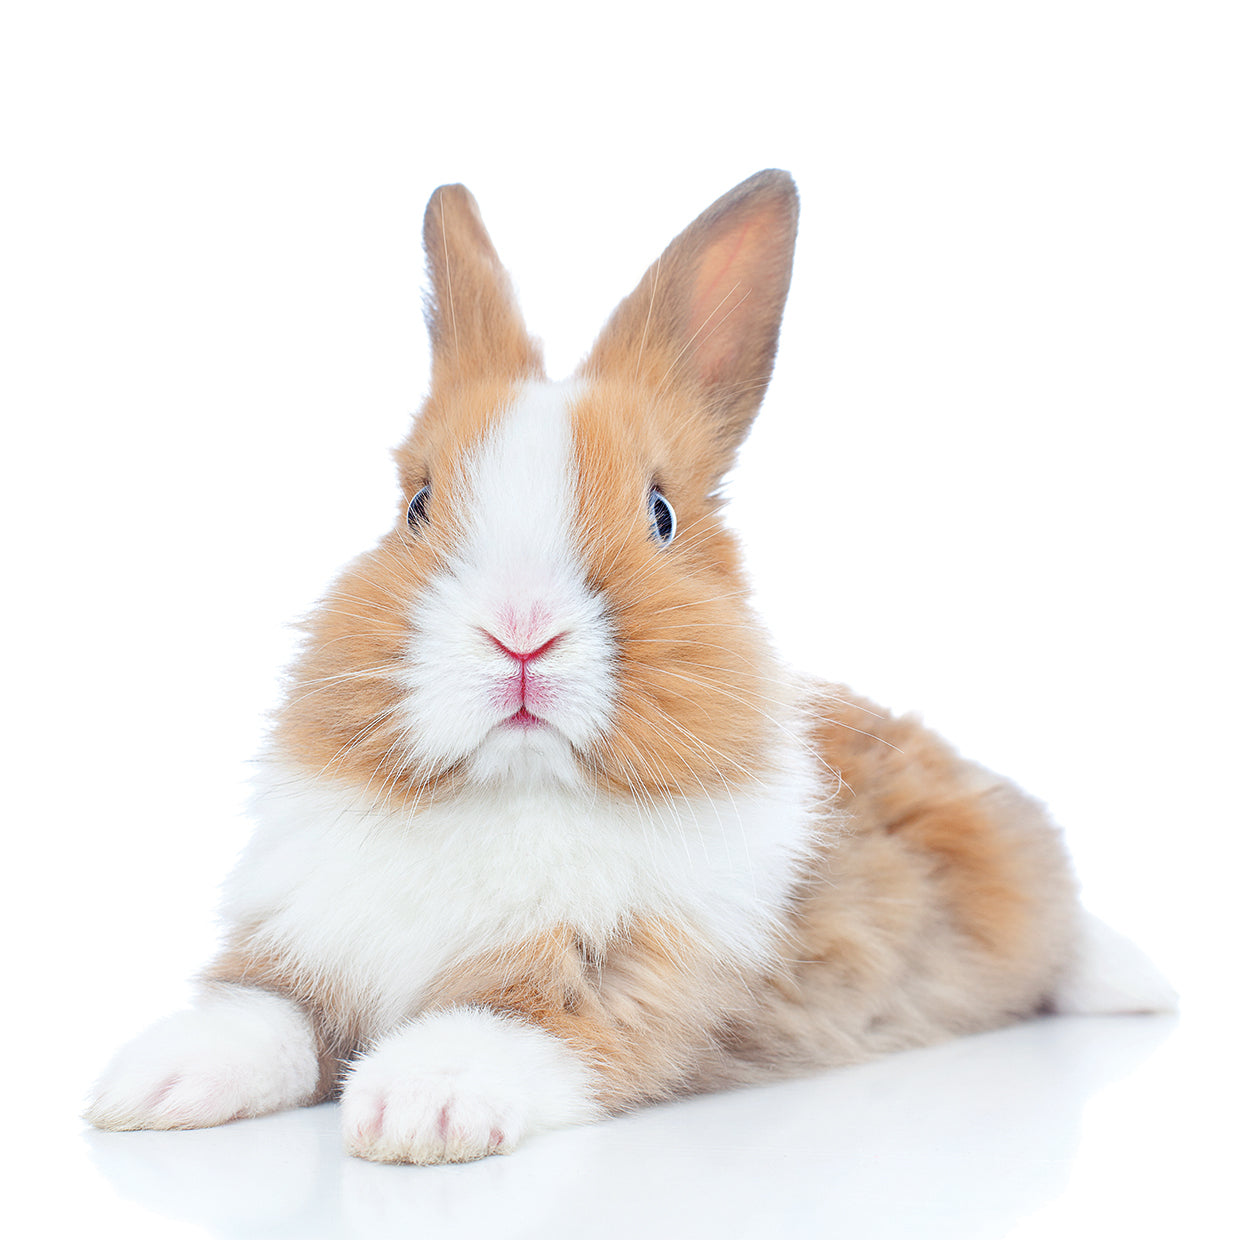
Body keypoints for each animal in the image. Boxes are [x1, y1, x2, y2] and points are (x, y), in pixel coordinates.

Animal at [85, 170, 1175, 1164]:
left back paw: (1140, 987)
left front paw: (413, 1109)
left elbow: (506, 1022)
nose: (521, 633)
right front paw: (148, 1084)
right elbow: (263, 1015)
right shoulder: (305, 950)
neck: (512, 792)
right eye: (416, 505)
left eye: (660, 514)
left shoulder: (626, 978)